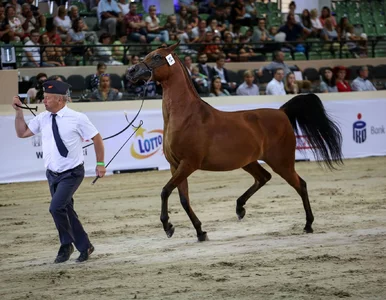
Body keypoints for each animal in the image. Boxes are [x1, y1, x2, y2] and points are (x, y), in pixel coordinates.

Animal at [127, 41, 344, 241]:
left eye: (157, 57)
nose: (132, 70)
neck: (186, 116)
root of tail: (282, 112)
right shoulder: (176, 166)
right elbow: (183, 199)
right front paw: (200, 232)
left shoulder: (188, 164)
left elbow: (165, 191)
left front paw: (168, 226)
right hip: (249, 161)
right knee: (264, 177)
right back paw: (240, 208)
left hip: (281, 162)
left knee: (301, 185)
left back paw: (308, 224)